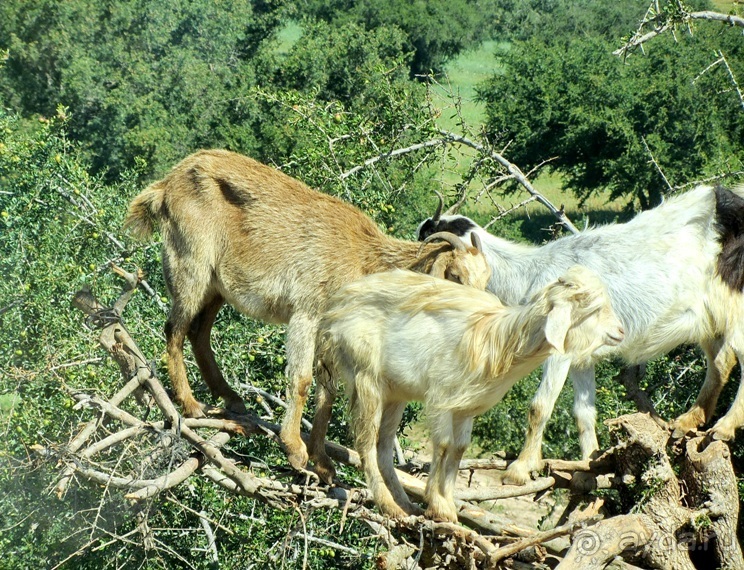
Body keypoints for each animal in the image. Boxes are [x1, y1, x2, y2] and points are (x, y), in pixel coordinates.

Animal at [124, 148, 492, 470]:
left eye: (487, 279)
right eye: (455, 275)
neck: (364, 259)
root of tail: (168, 184)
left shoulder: (329, 331)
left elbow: (327, 393)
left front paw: (324, 464)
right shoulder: (307, 313)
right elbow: (300, 380)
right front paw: (295, 450)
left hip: (217, 287)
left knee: (199, 332)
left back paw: (231, 399)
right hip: (191, 264)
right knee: (175, 328)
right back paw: (190, 405)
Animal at [310, 264, 624, 520]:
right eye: (594, 308)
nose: (621, 332)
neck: (496, 343)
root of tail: (334, 310)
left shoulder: (466, 407)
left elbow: (459, 449)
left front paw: (447, 503)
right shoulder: (441, 399)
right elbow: (444, 445)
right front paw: (438, 505)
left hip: (395, 392)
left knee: (384, 446)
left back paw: (405, 505)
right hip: (366, 377)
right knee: (365, 441)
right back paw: (388, 505)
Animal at [416, 183, 744, 484]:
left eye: (448, 267)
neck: (529, 277)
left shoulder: (559, 352)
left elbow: (539, 406)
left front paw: (519, 469)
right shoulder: (582, 357)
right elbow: (583, 413)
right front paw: (589, 464)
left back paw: (723, 428)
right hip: (710, 320)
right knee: (720, 362)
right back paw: (688, 421)